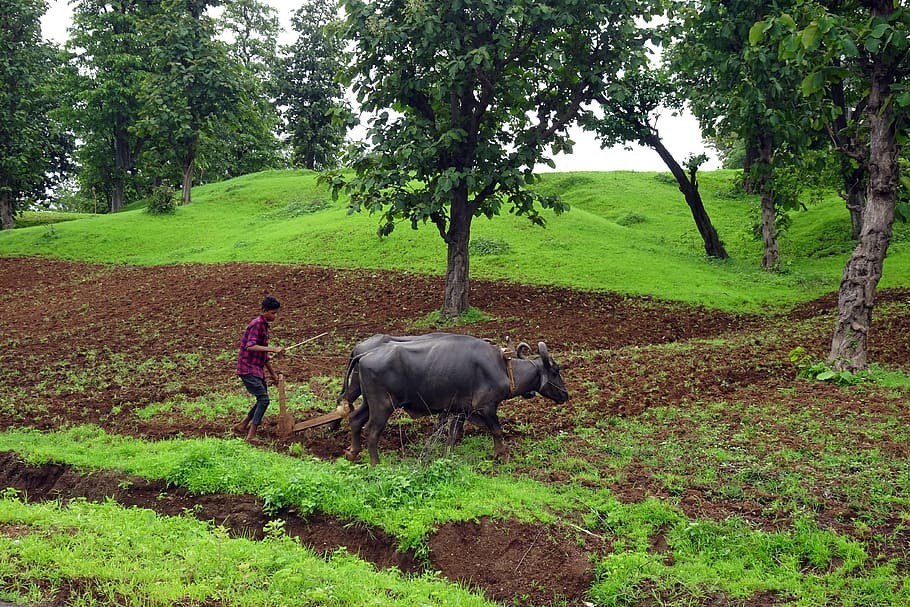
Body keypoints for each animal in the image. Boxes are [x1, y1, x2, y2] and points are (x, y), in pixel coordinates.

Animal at [350, 334, 568, 468]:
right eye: (556, 371)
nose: (566, 395)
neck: (502, 368)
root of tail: (365, 354)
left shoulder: (459, 411)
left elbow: (453, 435)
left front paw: (448, 454)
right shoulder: (487, 407)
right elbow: (497, 431)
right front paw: (501, 454)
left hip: (368, 404)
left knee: (355, 420)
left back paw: (353, 452)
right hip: (382, 407)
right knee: (371, 432)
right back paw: (375, 463)